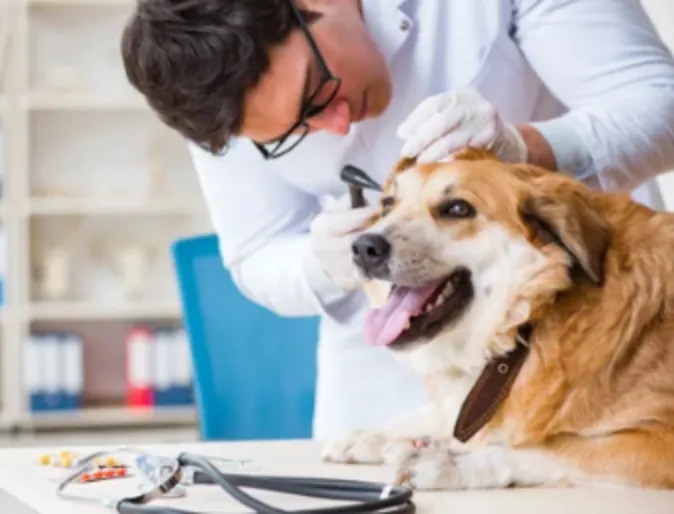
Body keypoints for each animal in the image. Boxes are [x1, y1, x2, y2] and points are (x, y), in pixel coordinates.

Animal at [318, 147, 672, 488]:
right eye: (388, 204)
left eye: (457, 209)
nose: (363, 247)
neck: (526, 325)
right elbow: (436, 414)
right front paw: (374, 435)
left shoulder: (657, 440)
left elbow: (545, 448)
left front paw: (450, 464)